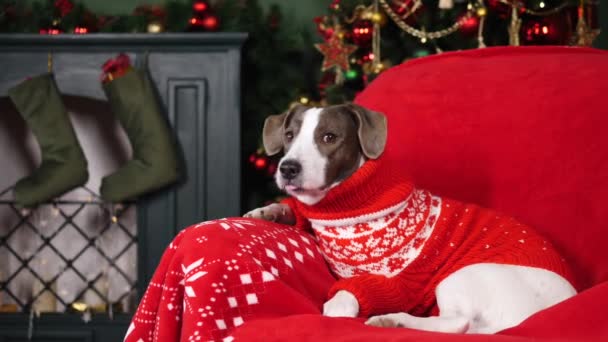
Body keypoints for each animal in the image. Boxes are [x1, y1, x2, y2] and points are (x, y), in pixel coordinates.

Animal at [243, 104, 576, 334]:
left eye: (329, 137)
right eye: (289, 136)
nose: (288, 168)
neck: (347, 207)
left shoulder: (395, 283)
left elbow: (349, 293)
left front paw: (336, 310)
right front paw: (267, 211)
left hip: (463, 273)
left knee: (458, 323)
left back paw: (393, 320)